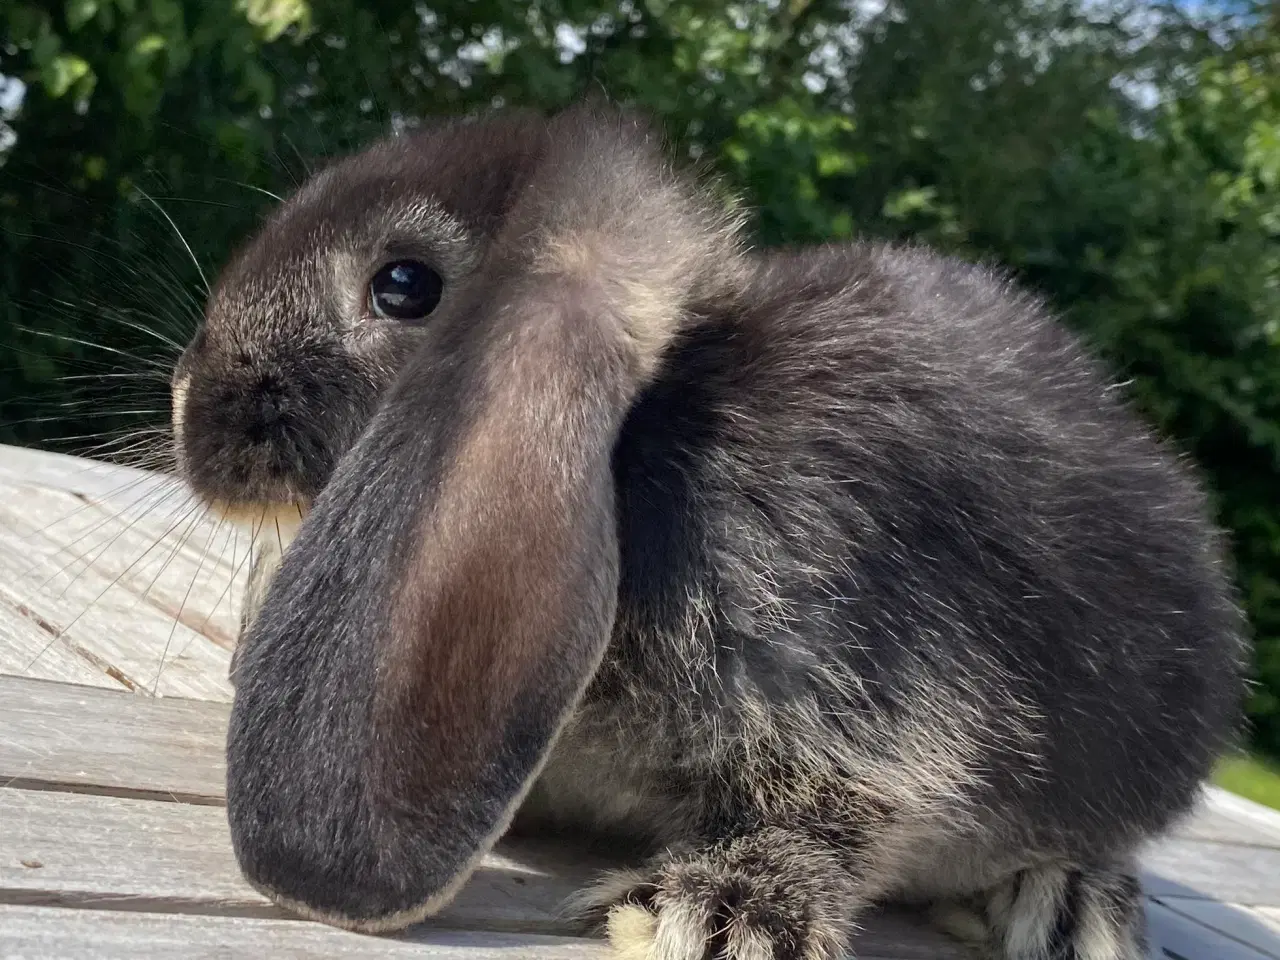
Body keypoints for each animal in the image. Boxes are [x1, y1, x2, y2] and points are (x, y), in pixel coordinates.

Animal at [167, 101, 1239, 957]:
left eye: (404, 286)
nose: (188, 401)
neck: (648, 449)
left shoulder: (867, 678)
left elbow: (846, 805)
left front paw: (720, 913)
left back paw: (1064, 900)